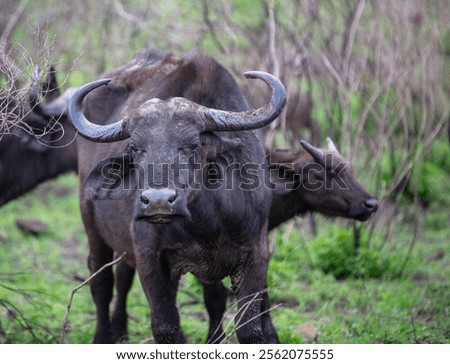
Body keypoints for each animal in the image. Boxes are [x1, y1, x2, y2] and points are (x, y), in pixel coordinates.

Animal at [67, 49, 284, 344]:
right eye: (135, 148)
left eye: (192, 145)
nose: (158, 201)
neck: (206, 222)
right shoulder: (150, 257)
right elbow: (166, 326)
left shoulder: (255, 252)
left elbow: (248, 326)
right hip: (91, 225)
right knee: (101, 283)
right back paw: (103, 336)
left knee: (126, 276)